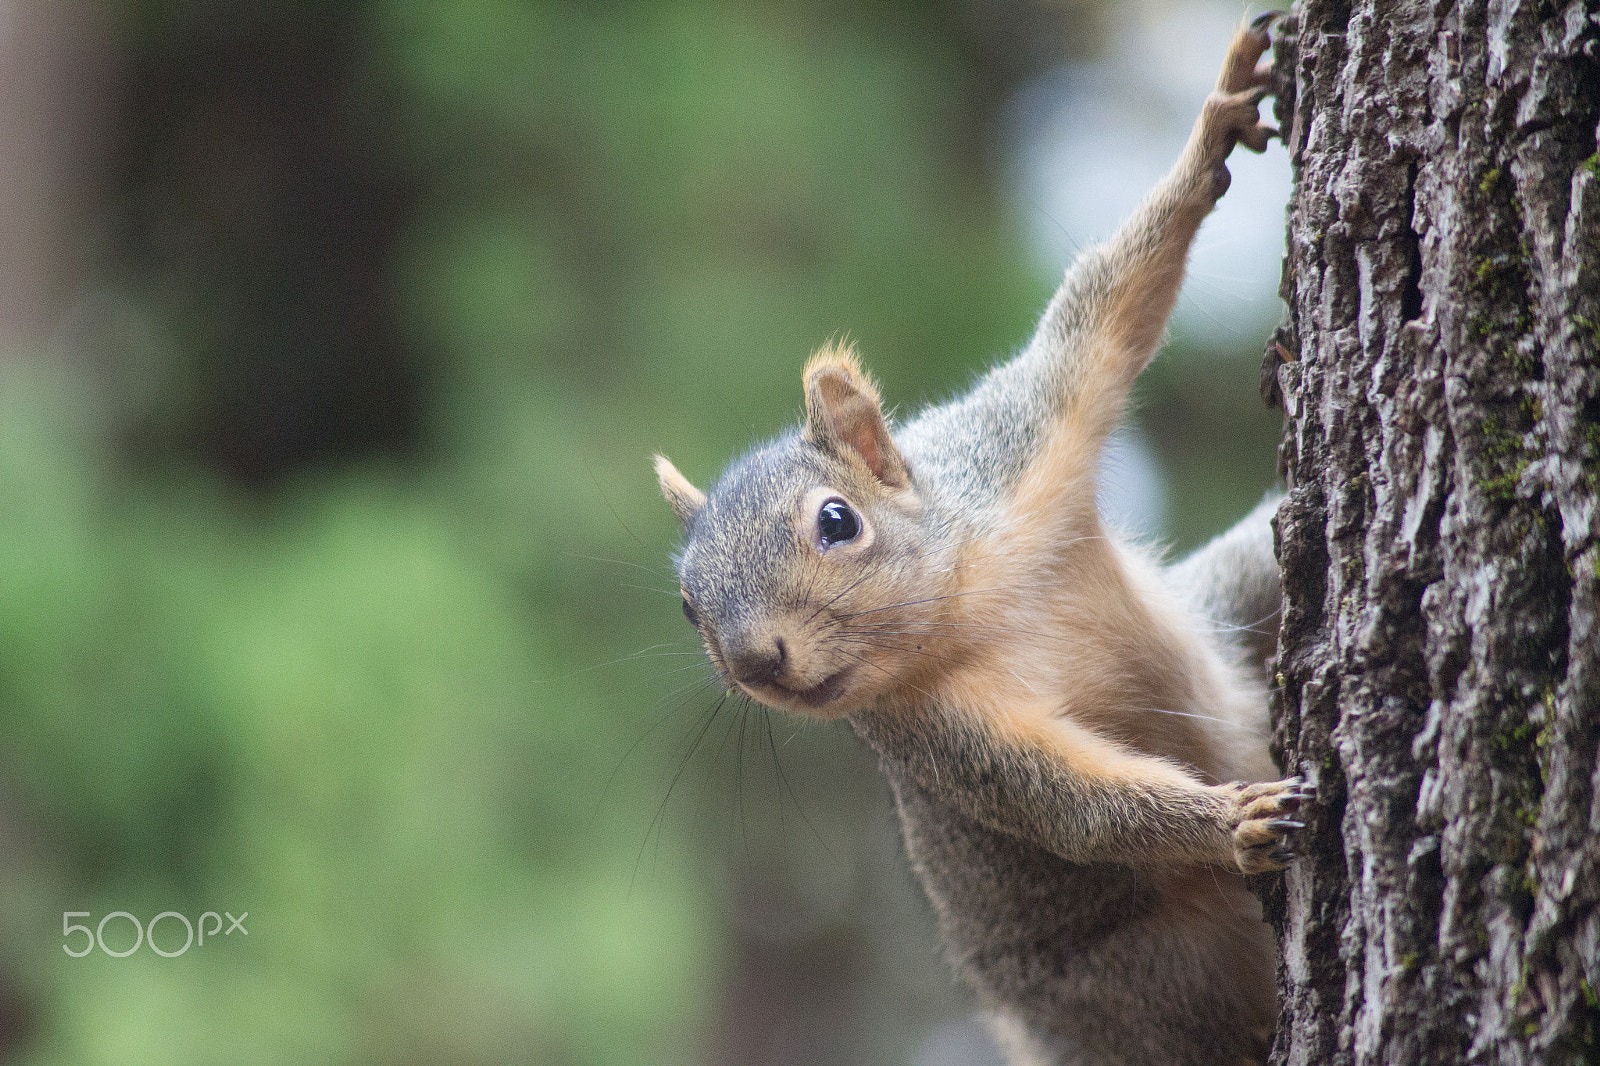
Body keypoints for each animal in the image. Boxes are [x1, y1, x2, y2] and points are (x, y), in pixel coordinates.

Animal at [652, 16, 1311, 1066]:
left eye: (836, 521)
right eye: (686, 605)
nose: (757, 663)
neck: (972, 604)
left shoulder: (1020, 441)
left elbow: (1104, 307)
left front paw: (1214, 129)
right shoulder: (945, 738)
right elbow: (1074, 809)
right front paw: (1228, 823)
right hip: (1140, 984)